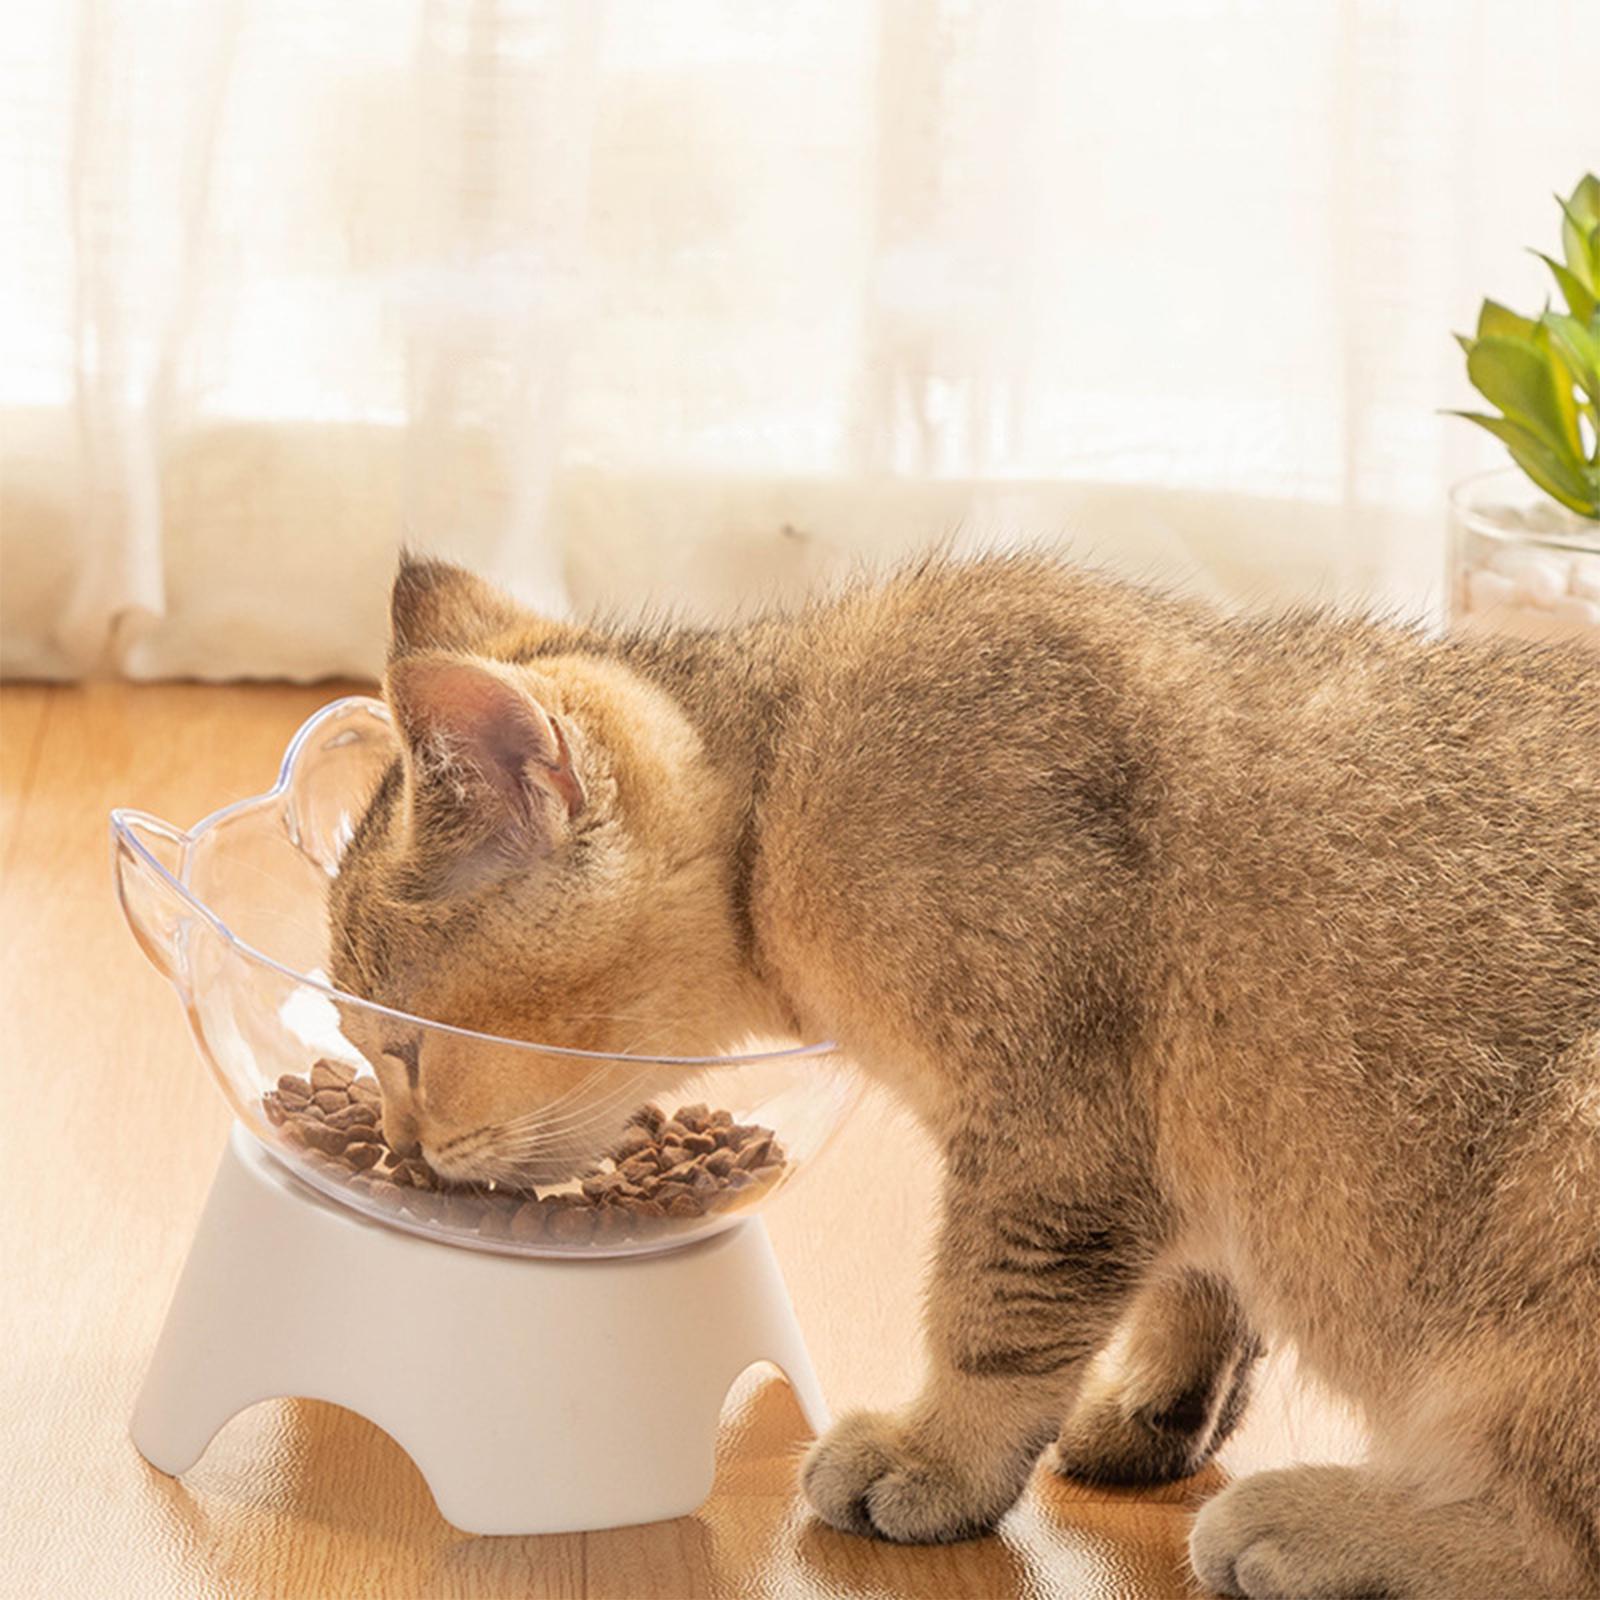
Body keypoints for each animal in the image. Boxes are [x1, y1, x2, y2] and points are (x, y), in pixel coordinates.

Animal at [328, 553, 1600, 1600]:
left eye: (402, 1046)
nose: (401, 1147)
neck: (784, 787)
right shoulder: (1185, 1138)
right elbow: (1199, 1289)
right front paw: (1159, 1407)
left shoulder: (1052, 1133)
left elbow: (991, 1320)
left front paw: (936, 1455)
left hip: (1559, 1188)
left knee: (1554, 1543)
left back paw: (1328, 1525)